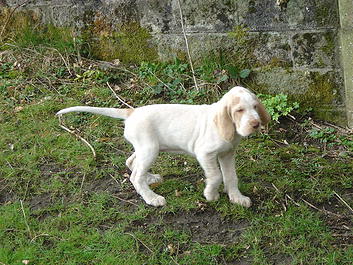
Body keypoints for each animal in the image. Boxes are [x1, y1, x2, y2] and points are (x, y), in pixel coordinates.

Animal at [56, 85, 270, 205]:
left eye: (255, 107)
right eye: (239, 110)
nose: (256, 124)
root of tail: (132, 112)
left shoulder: (227, 154)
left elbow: (231, 177)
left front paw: (237, 198)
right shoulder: (205, 153)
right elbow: (216, 176)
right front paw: (211, 195)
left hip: (146, 148)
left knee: (131, 162)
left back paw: (150, 178)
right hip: (150, 149)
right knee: (135, 176)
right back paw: (152, 198)